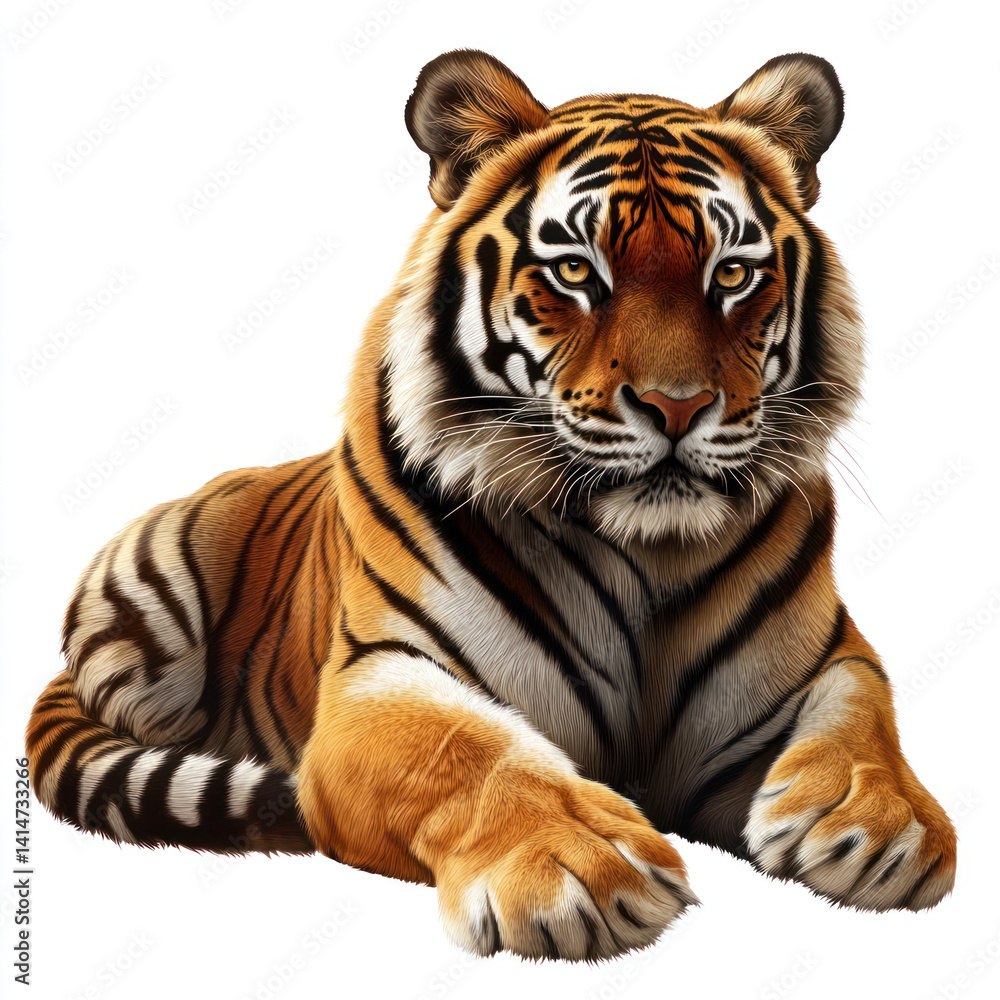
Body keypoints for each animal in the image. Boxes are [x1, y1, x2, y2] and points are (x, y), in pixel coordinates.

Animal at [26, 49, 957, 962]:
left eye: (731, 273)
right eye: (576, 271)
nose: (680, 406)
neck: (647, 552)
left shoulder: (819, 662)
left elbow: (862, 710)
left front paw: (879, 824)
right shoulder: (380, 676)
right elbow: (470, 750)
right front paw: (579, 865)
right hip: (154, 599)